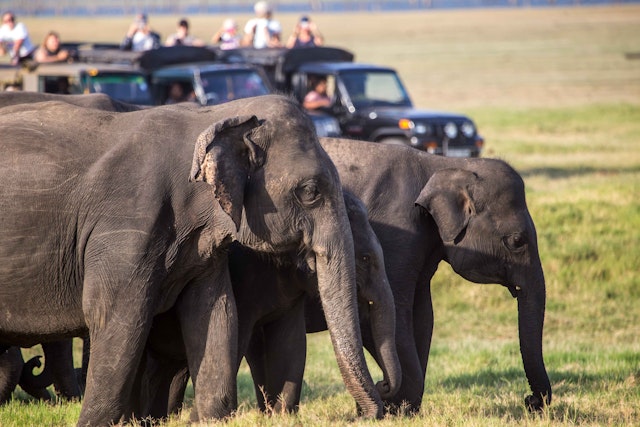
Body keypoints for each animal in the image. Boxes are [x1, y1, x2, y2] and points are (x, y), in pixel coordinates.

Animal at [136, 191, 401, 419]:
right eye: (365, 258)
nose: (382, 384)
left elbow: (291, 343)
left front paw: (281, 415)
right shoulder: (243, 276)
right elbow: (237, 338)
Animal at [316, 137, 552, 413]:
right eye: (516, 241)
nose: (530, 401)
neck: (444, 164)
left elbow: (423, 314)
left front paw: (403, 409)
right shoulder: (395, 233)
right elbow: (391, 312)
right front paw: (396, 407)